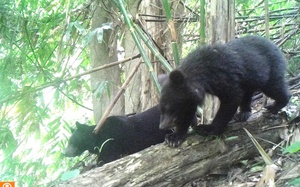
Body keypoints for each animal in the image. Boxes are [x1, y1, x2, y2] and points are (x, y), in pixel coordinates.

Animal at [159, 34, 290, 147]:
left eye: (168, 108)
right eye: (162, 109)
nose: (161, 126)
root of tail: (277, 47)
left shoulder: (224, 77)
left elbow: (231, 99)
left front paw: (207, 129)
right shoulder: (190, 97)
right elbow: (187, 112)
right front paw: (174, 138)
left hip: (270, 70)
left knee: (274, 87)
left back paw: (274, 106)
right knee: (247, 93)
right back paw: (243, 114)